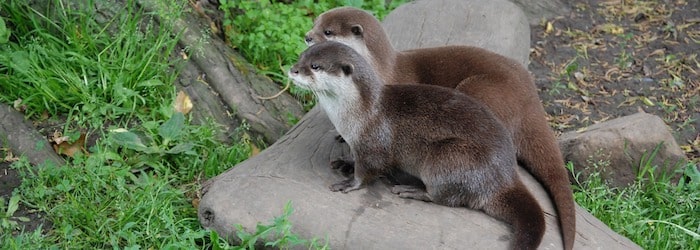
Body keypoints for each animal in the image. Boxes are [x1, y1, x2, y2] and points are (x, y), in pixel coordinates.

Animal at [304, 6, 576, 250]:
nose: (307, 36)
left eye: (327, 31)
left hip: (480, 91)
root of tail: (532, 99)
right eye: (315, 22)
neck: (382, 72)